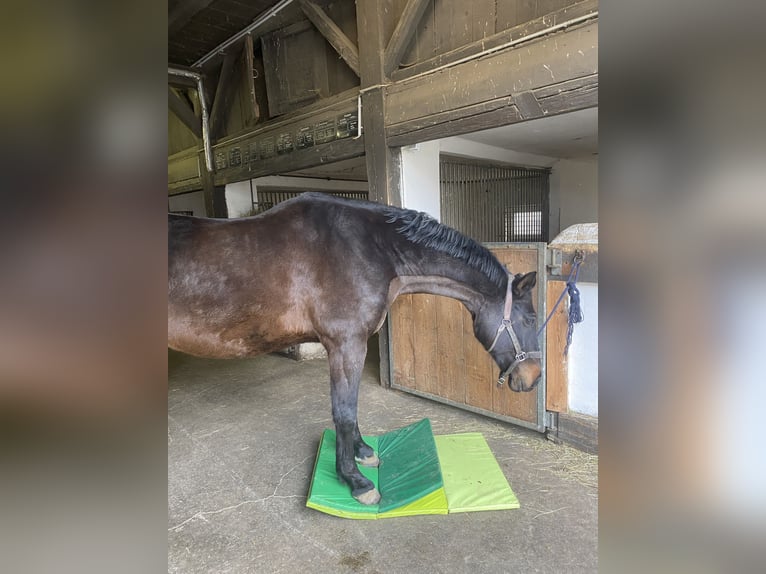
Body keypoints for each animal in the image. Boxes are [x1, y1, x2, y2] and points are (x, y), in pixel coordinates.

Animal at [170, 195, 540, 508]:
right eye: (529, 319)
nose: (534, 377)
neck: (370, 250)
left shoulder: (351, 345)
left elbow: (351, 407)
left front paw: (363, 452)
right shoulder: (346, 343)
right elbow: (344, 412)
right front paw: (356, 481)